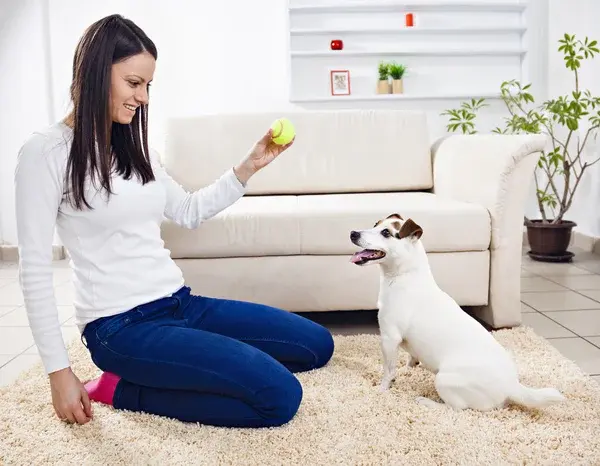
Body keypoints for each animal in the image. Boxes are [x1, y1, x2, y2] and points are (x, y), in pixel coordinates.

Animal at [350, 215, 564, 412]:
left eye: (386, 233)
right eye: (375, 224)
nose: (353, 233)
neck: (404, 276)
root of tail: (511, 386)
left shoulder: (389, 337)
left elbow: (388, 370)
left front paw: (382, 389)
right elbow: (410, 358)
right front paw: (407, 368)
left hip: (444, 379)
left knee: (456, 409)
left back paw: (427, 402)